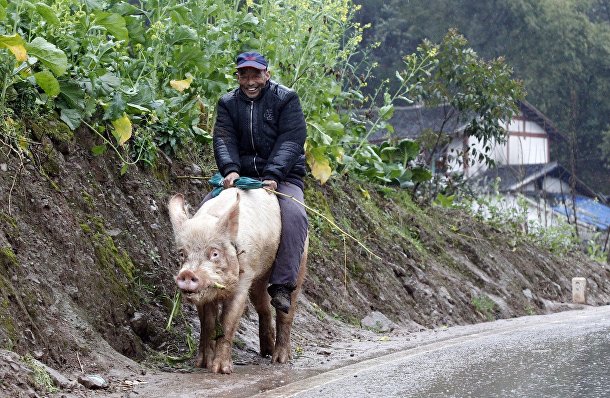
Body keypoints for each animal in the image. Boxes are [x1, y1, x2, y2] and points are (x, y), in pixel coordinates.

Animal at [166, 187, 306, 374]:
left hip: (300, 259)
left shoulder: (244, 279)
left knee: (287, 310)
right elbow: (207, 324)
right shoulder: (205, 296)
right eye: (182, 253)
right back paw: (266, 352)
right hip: (258, 278)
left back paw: (280, 359)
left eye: (215, 253)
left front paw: (221, 370)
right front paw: (202, 364)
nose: (187, 273)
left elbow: (228, 320)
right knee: (263, 307)